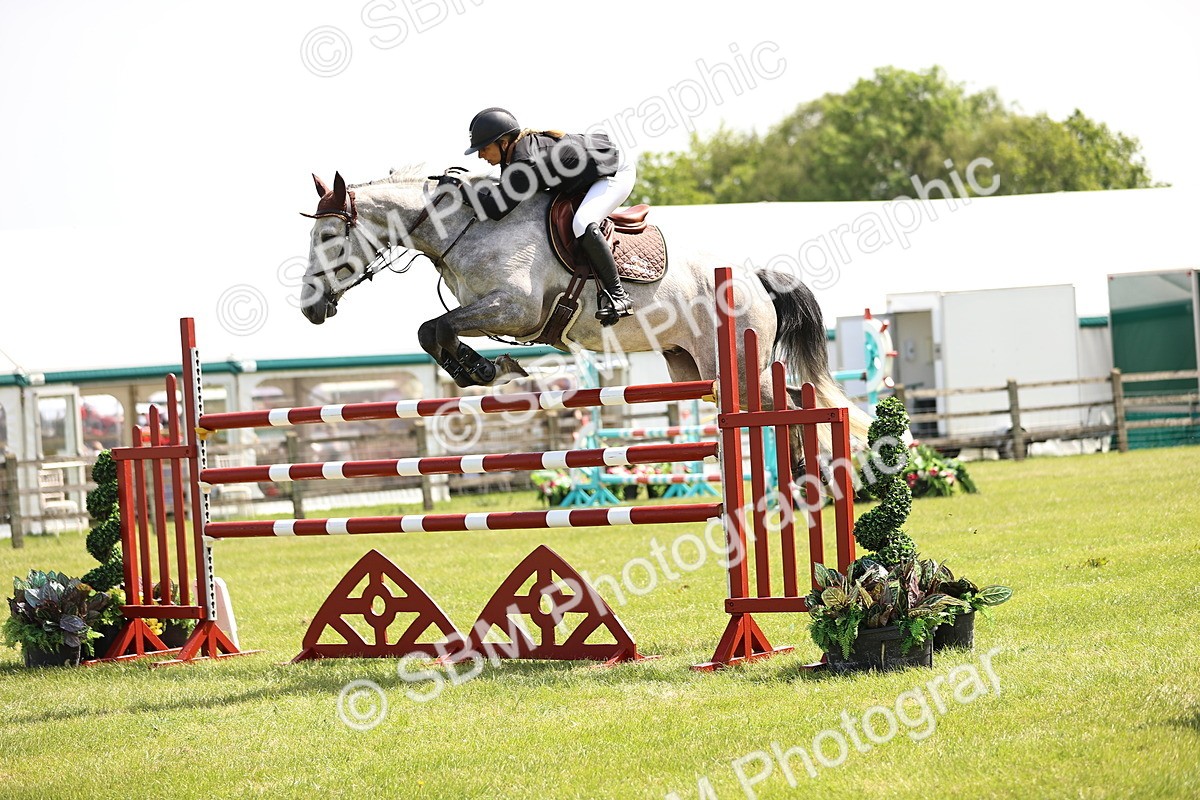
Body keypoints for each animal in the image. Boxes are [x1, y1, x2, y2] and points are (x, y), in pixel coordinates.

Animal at [298, 168, 871, 464]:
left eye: (327, 235)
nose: (309, 308)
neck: (466, 226)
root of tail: (753, 278)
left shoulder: (516, 309)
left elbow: (434, 327)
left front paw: (485, 370)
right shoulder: (489, 312)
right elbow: (433, 331)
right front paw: (486, 370)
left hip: (732, 360)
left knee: (793, 399)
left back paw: (813, 471)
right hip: (690, 366)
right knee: (784, 399)